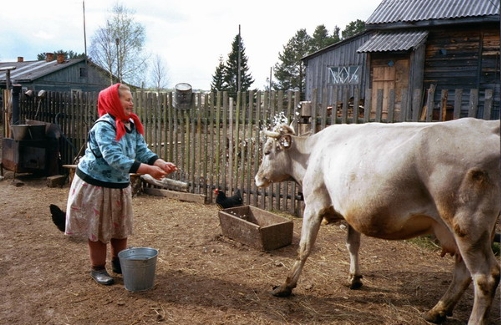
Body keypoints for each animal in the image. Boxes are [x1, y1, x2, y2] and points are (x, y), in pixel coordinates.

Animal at [256, 117, 498, 322]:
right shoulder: (351, 211)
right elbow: (352, 245)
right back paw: (437, 311)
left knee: (485, 277)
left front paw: (286, 286)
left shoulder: (314, 206)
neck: (311, 153)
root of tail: (490, 126)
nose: (258, 179)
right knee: (463, 272)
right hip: (472, 231)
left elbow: (304, 247)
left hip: (466, 224)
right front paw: (354, 278)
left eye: (267, 152)